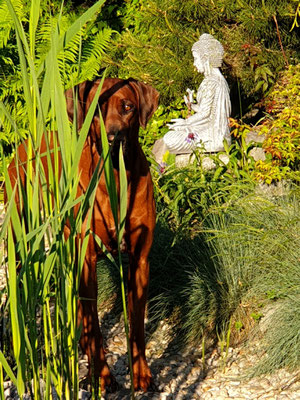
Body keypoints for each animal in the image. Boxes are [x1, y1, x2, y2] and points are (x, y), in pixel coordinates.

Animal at [6, 77, 159, 390]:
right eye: (96, 109)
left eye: (128, 107)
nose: (114, 138)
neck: (115, 178)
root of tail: (25, 144)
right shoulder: (86, 258)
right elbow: (94, 325)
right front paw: (102, 376)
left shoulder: (140, 260)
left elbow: (137, 325)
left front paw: (140, 373)